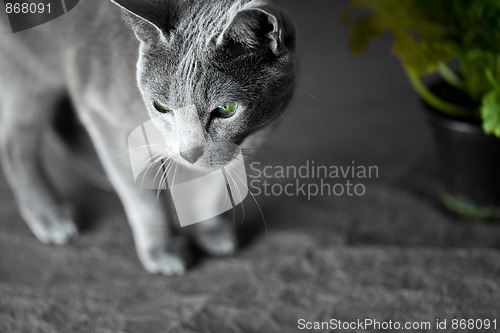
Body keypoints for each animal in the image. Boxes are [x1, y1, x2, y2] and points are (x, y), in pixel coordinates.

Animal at [0, 0, 296, 274]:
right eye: (161, 106)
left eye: (226, 109)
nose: (189, 153)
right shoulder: (105, 116)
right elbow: (142, 199)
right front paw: (162, 250)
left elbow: (209, 185)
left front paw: (210, 230)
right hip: (27, 78)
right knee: (15, 145)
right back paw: (49, 216)